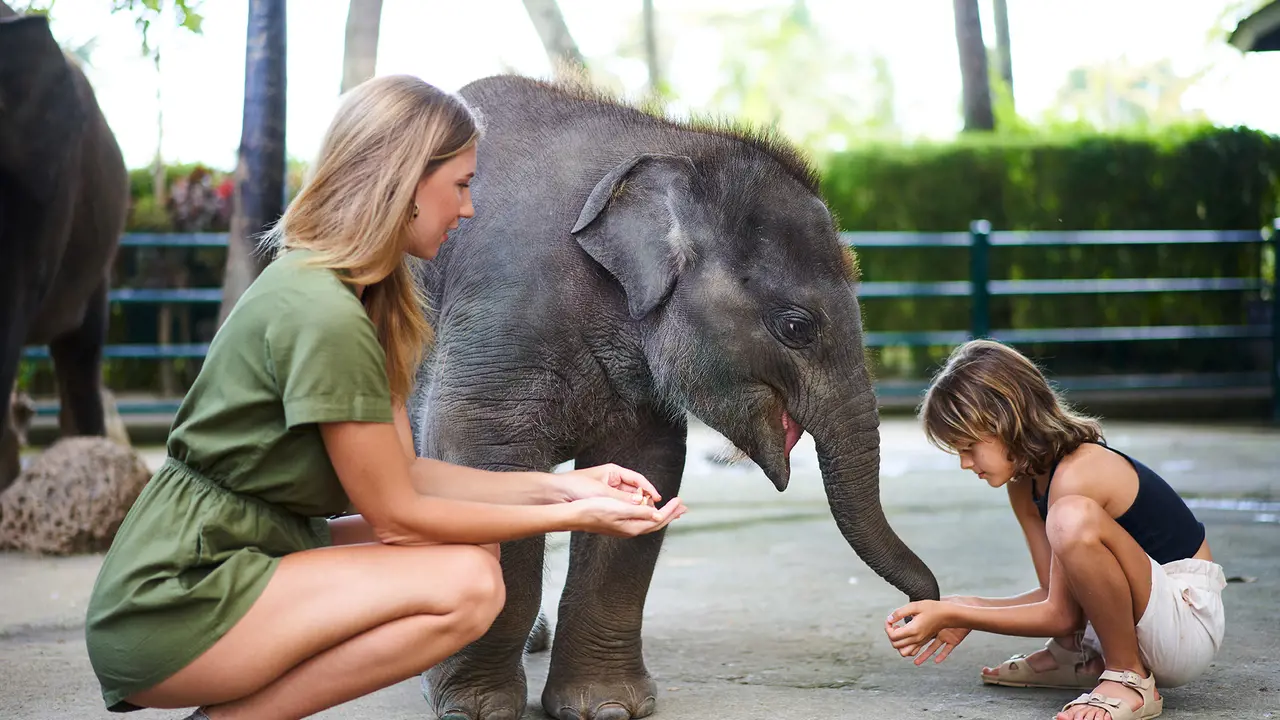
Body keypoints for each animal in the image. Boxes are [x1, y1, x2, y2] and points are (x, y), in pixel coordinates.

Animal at [409, 74, 940, 720]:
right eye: (797, 327)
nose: (912, 619)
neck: (674, 145)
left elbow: (647, 466)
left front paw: (607, 709)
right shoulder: (504, 307)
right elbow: (484, 464)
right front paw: (475, 708)